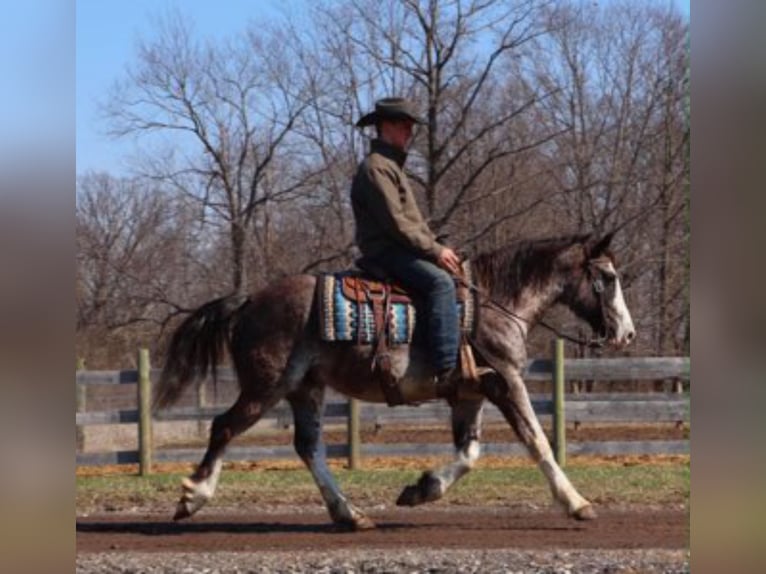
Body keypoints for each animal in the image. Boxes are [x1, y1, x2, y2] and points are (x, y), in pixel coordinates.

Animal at [154, 232, 635, 530]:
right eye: (608, 278)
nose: (627, 334)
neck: (496, 302)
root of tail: (250, 299)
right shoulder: (507, 381)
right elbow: (537, 441)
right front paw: (577, 503)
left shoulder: (471, 393)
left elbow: (469, 453)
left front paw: (421, 490)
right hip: (265, 387)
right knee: (224, 427)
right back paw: (193, 496)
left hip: (305, 389)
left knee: (308, 447)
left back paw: (349, 514)